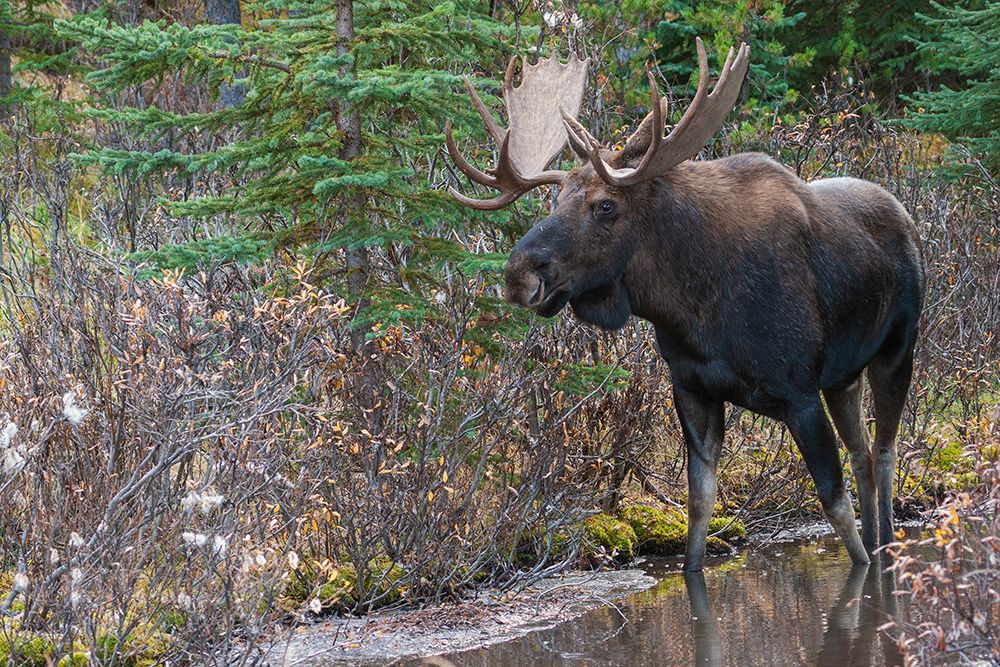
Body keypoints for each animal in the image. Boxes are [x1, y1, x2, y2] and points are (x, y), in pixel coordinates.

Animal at [444, 39, 925, 572]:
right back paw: (881, 539)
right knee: (863, 453)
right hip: (843, 376)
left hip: (897, 350)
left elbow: (833, 502)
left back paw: (886, 547)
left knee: (885, 450)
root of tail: (906, 217)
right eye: (556, 199)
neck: (695, 311)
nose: (519, 274)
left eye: (605, 205)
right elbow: (699, 506)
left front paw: (863, 567)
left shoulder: (798, 390)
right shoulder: (693, 389)